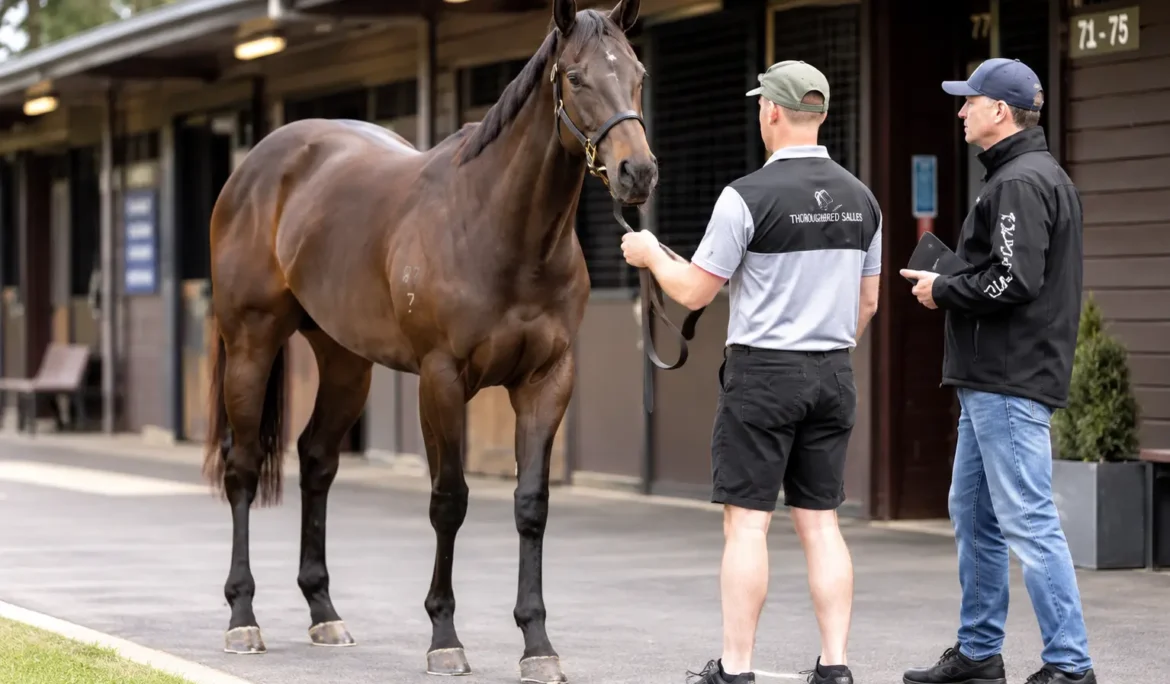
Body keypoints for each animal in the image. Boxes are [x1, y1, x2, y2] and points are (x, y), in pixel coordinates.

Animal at [199, 0, 674, 680]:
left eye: (637, 74)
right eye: (577, 77)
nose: (638, 173)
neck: (499, 230)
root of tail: (257, 166)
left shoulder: (548, 381)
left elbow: (532, 505)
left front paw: (538, 644)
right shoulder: (442, 378)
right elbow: (448, 500)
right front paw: (444, 637)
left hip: (345, 361)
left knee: (317, 460)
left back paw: (324, 612)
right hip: (251, 342)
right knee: (241, 468)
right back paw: (243, 618)